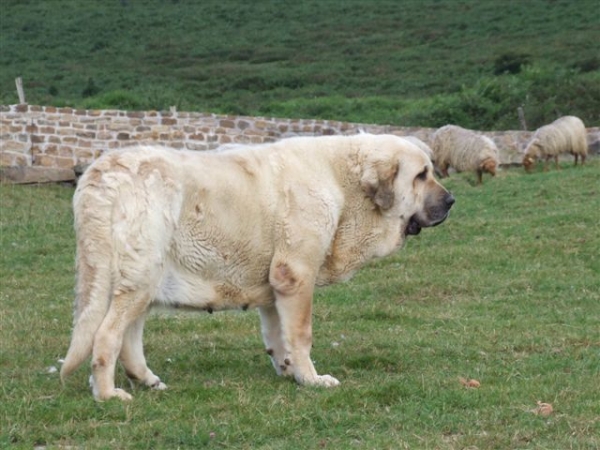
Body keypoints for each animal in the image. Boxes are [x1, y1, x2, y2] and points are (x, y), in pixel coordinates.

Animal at [62, 134, 454, 400]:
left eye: (431, 171)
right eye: (421, 175)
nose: (452, 200)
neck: (344, 182)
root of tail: (99, 174)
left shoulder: (276, 285)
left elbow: (278, 333)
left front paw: (289, 370)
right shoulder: (296, 275)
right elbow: (301, 333)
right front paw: (312, 379)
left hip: (143, 280)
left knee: (128, 335)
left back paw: (146, 379)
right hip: (139, 276)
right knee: (107, 335)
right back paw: (108, 394)